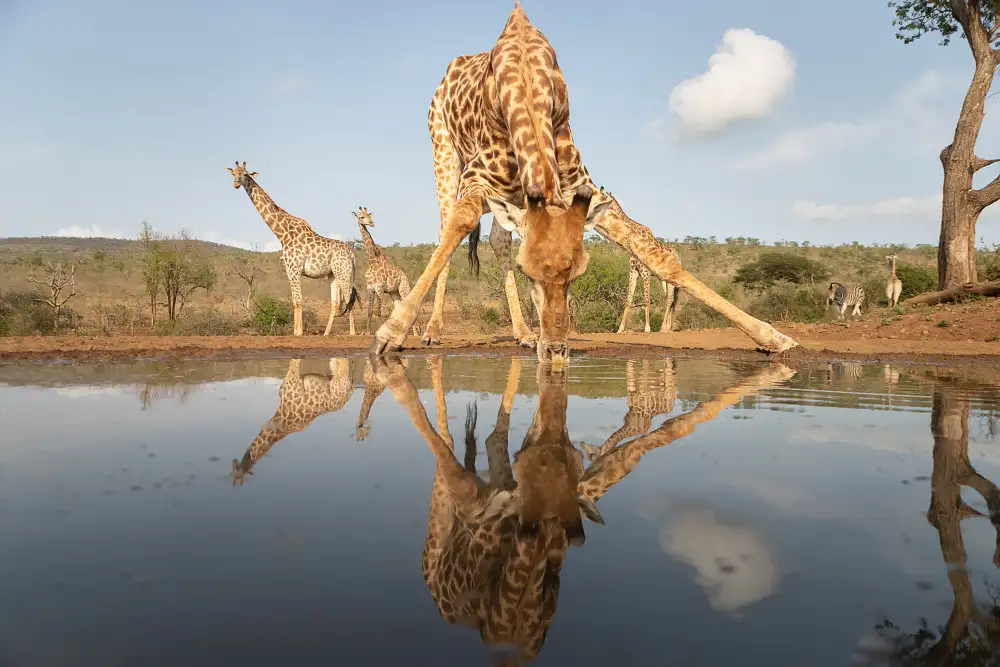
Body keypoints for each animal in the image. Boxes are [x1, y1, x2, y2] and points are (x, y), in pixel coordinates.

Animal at [226, 161, 358, 336]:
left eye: (246, 174)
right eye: (234, 173)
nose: (236, 184)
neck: (282, 233)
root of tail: (352, 254)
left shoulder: (294, 268)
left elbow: (299, 300)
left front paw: (298, 332)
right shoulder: (288, 270)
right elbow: (294, 301)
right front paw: (295, 331)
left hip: (344, 272)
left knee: (350, 298)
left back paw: (352, 333)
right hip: (333, 274)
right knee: (336, 302)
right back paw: (326, 333)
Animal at [353, 206, 420, 335]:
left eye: (369, 215)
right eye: (361, 217)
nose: (372, 223)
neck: (372, 262)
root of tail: (404, 275)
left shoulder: (379, 288)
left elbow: (379, 312)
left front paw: (378, 331)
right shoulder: (370, 288)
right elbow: (370, 311)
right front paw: (367, 332)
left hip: (403, 288)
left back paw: (416, 333)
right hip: (393, 292)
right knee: (398, 307)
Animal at [369, 2, 797, 362]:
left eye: (579, 274)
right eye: (529, 273)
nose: (556, 350)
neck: (527, 83)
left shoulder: (581, 189)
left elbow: (658, 258)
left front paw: (772, 337)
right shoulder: (477, 177)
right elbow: (457, 227)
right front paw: (389, 335)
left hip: (508, 195)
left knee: (498, 239)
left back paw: (523, 333)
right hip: (443, 152)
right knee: (447, 226)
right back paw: (433, 330)